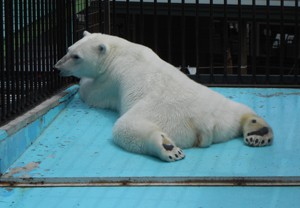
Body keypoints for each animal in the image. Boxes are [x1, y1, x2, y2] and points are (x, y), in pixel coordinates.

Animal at [54, 31, 274, 162]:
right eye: (68, 49)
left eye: (76, 57)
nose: (57, 67)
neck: (120, 51)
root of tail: (204, 124)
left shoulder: (109, 81)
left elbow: (91, 93)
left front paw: (81, 82)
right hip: (219, 107)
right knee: (240, 110)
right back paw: (259, 131)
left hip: (161, 114)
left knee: (127, 128)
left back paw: (168, 148)